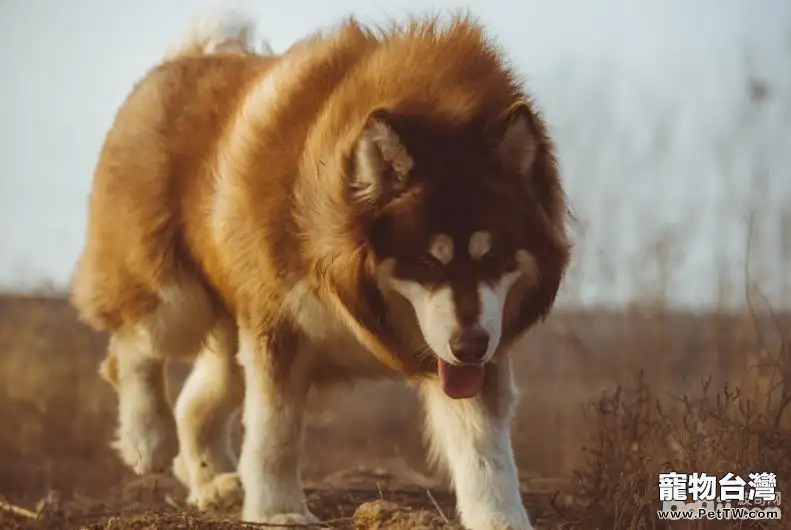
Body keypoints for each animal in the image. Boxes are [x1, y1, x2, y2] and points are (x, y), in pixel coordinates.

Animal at [69, 12, 568, 528]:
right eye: (429, 259)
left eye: (493, 256)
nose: (469, 347)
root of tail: (185, 57)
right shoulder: (278, 325)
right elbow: (275, 432)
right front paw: (277, 509)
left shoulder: (476, 347)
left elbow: (485, 452)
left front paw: (500, 518)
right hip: (175, 302)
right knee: (131, 349)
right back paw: (147, 437)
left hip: (229, 333)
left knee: (196, 401)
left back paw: (211, 481)